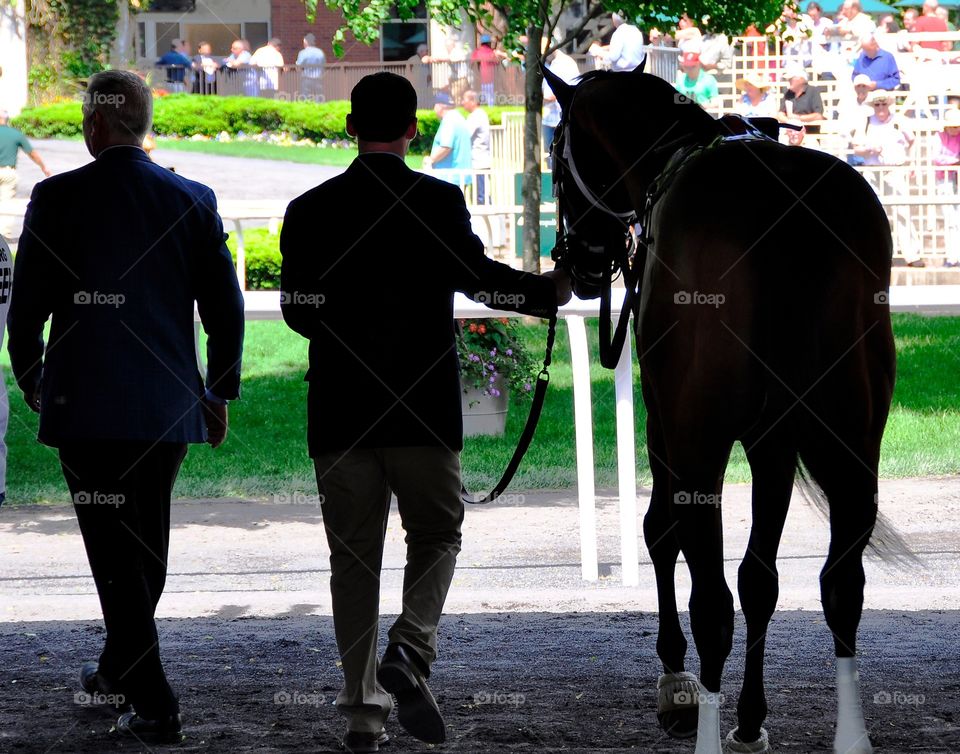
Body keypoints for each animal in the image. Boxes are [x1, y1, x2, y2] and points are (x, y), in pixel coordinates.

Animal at [544, 66, 904, 752]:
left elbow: (662, 534)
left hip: (700, 437)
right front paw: (751, 719)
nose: (576, 260)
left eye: (553, 155)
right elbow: (761, 580)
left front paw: (677, 684)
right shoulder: (775, 441)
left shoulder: (667, 426)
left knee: (709, 597)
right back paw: (848, 734)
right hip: (851, 438)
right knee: (841, 587)